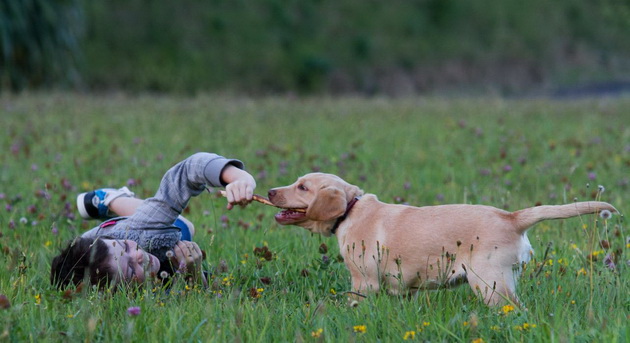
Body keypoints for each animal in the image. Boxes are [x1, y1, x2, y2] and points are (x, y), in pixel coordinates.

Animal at [270, 175, 620, 306]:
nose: (271, 190)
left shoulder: (363, 281)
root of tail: (512, 216)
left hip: (490, 283)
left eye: (302, 187)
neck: (350, 211)